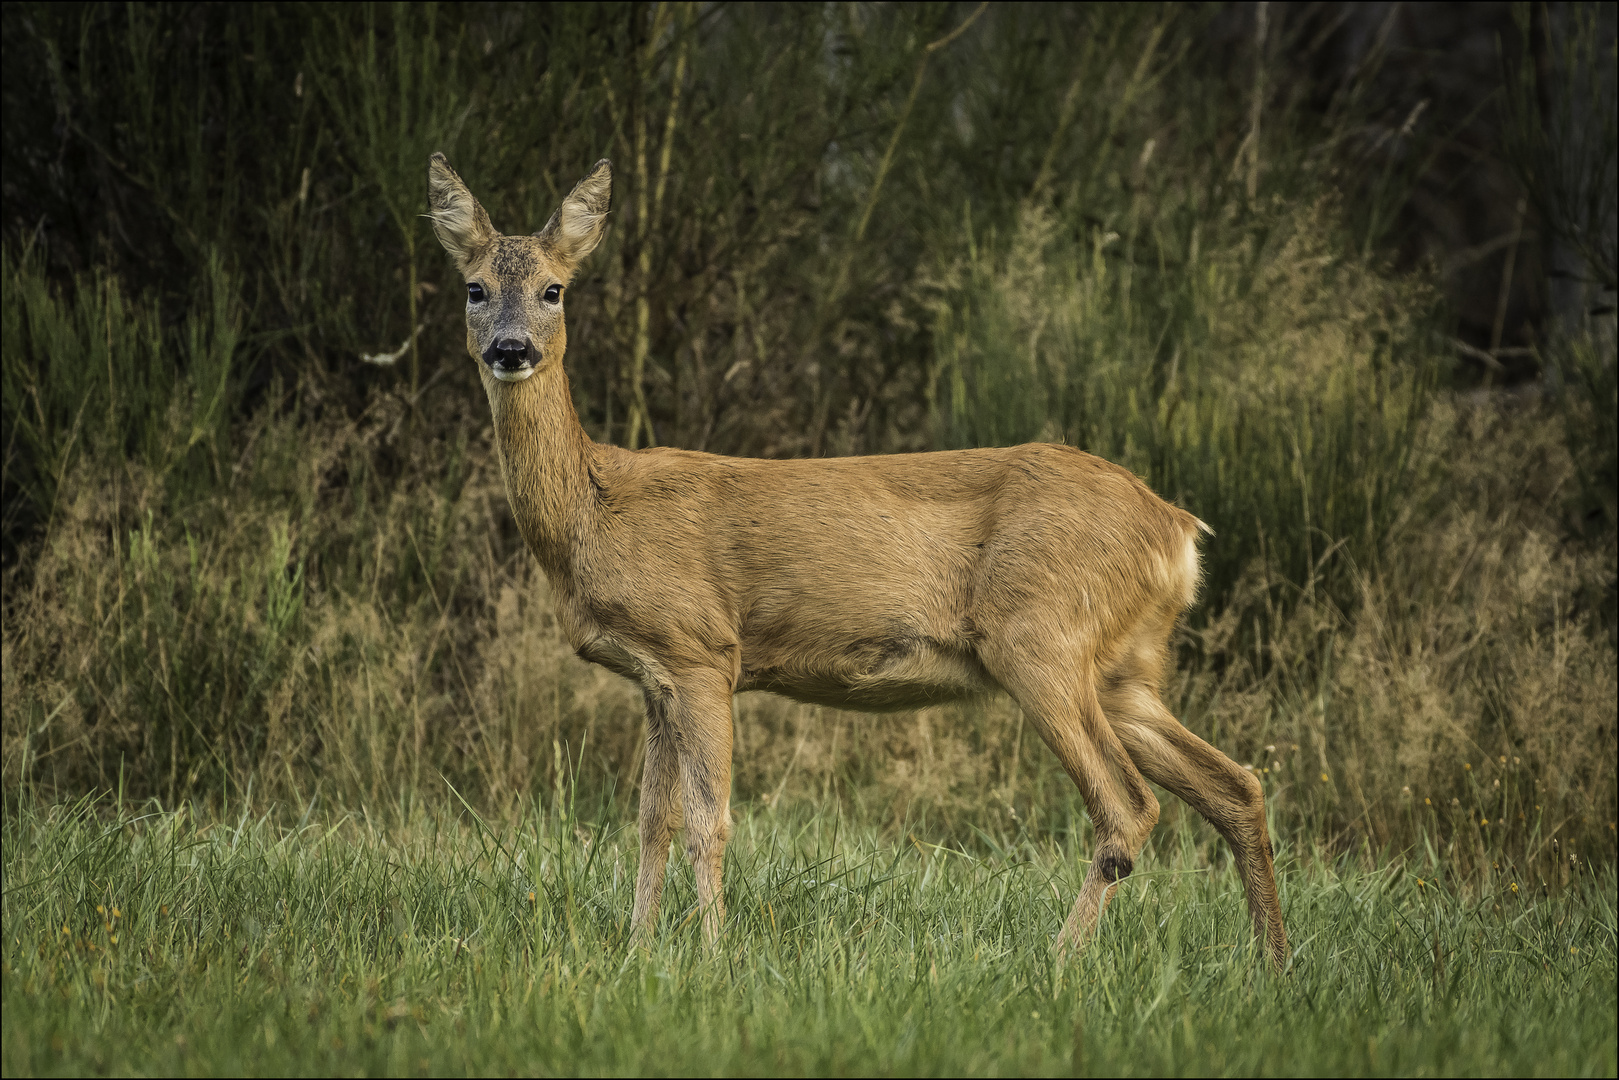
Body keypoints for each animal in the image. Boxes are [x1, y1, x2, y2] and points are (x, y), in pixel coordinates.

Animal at [427, 149, 1288, 965]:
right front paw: (637, 952)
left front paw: (710, 958)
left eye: (553, 290)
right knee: (1235, 784)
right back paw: (1271, 965)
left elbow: (708, 819)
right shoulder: (652, 675)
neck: (596, 506)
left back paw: (1058, 961)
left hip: (1040, 637)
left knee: (1128, 806)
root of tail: (1177, 531)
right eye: (473, 289)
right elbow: (649, 819)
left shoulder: (701, 649)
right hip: (1122, 667)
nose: (510, 349)